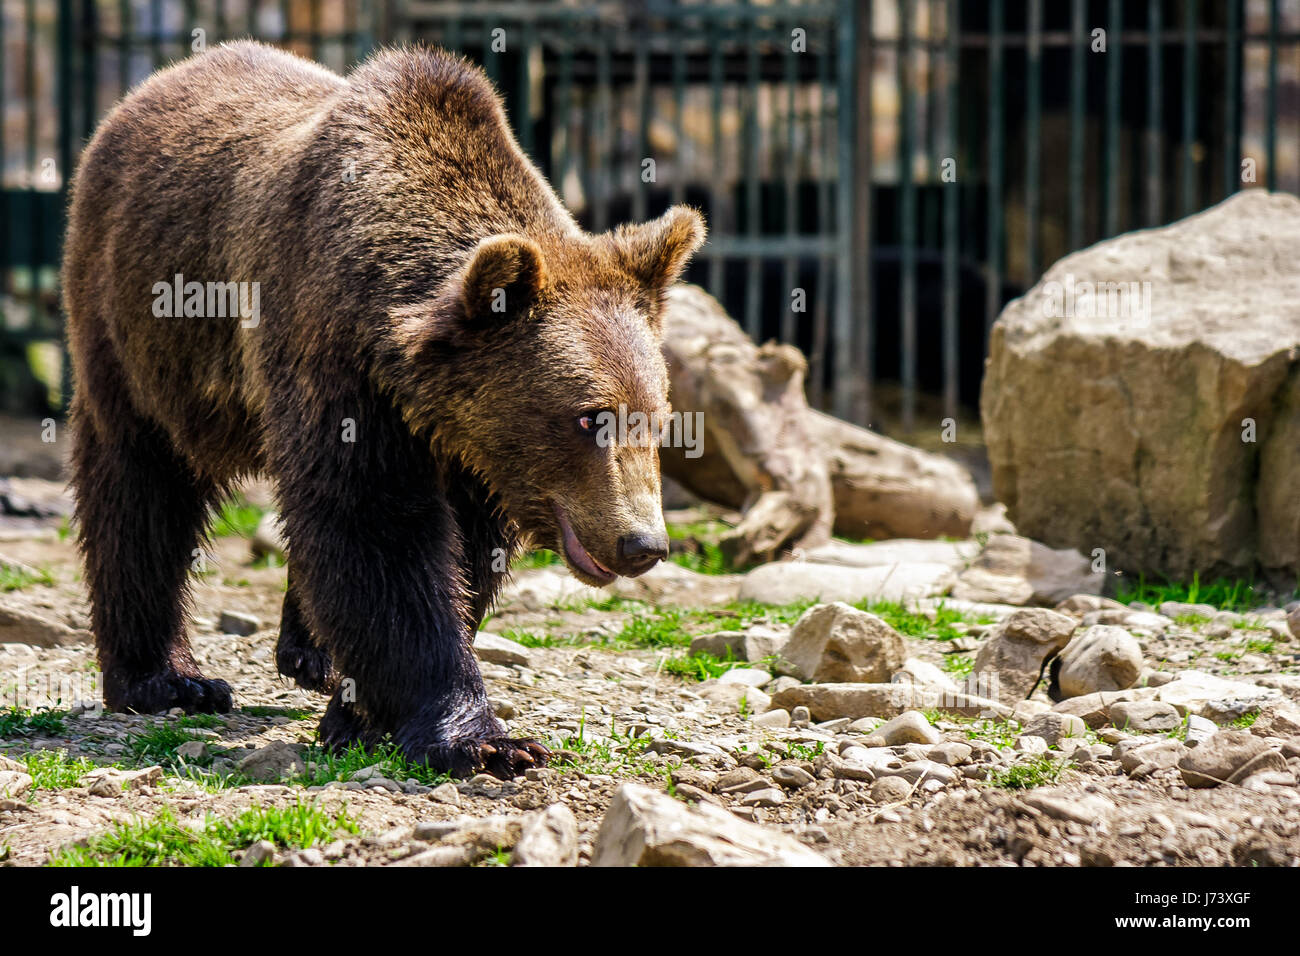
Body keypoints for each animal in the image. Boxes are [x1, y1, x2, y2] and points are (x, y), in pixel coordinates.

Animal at [61, 41, 705, 778]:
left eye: (655, 418)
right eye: (587, 416)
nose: (642, 543)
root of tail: (142, 95)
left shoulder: (469, 445)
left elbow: (459, 555)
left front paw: (358, 713)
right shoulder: (336, 361)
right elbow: (376, 529)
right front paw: (484, 738)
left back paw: (307, 651)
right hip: (138, 327)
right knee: (139, 486)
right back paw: (166, 679)